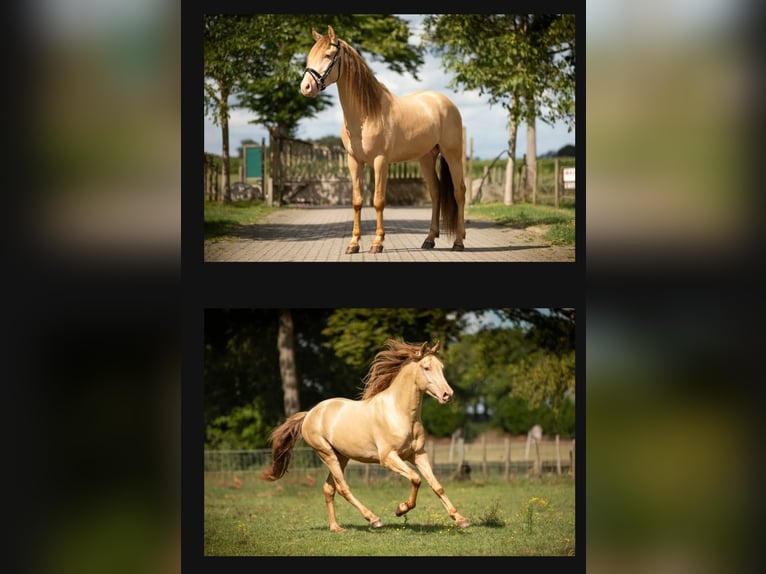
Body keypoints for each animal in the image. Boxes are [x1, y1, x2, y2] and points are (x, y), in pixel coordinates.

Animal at [260, 339, 471, 532]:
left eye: (441, 367)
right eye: (426, 367)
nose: (447, 394)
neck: (400, 412)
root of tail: (310, 414)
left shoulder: (418, 455)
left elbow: (436, 485)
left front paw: (461, 519)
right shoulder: (388, 457)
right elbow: (416, 479)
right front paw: (400, 509)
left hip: (341, 456)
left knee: (329, 488)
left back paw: (336, 527)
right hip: (327, 454)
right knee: (343, 488)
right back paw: (374, 519)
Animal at [299, 26, 467, 254]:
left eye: (328, 55)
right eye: (309, 57)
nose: (305, 87)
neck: (367, 114)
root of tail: (445, 102)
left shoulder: (380, 161)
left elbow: (378, 201)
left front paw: (377, 242)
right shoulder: (354, 161)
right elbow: (357, 201)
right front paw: (353, 243)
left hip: (453, 155)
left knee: (460, 193)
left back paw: (459, 241)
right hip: (426, 158)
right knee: (436, 193)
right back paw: (429, 239)